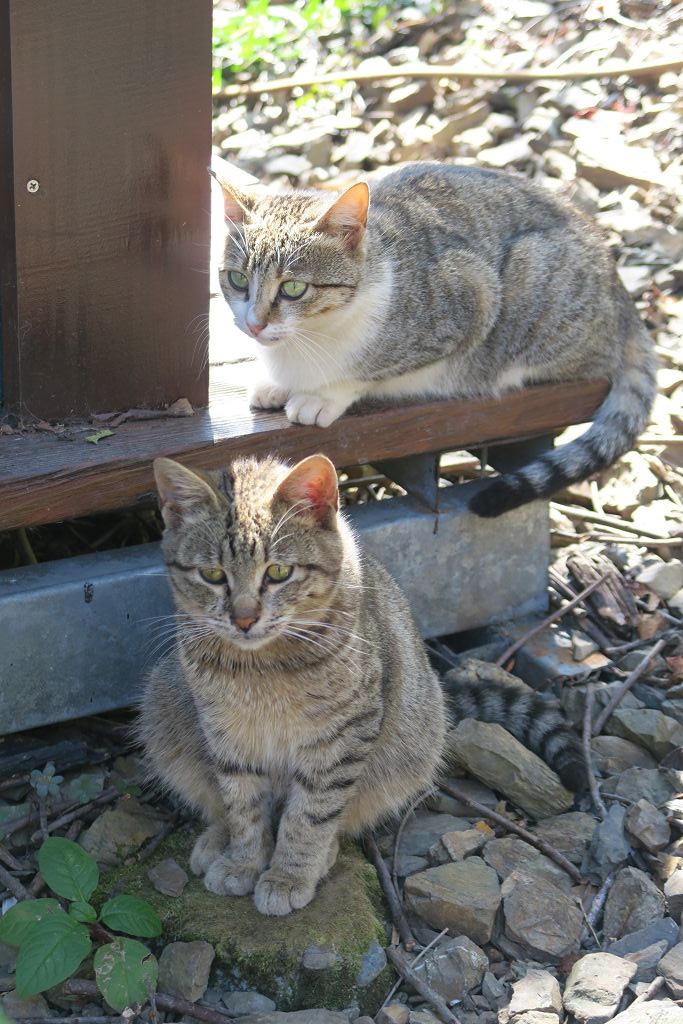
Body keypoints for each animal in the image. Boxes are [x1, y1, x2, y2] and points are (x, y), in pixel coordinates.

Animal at [137, 452, 581, 917]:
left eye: (278, 572)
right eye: (211, 574)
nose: (243, 619)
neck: (262, 667)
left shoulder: (342, 737)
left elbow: (310, 815)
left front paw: (290, 874)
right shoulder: (227, 735)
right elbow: (242, 806)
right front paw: (243, 861)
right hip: (163, 703)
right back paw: (216, 842)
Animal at [215, 164, 655, 524]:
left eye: (292, 288)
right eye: (237, 280)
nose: (254, 324)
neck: (307, 340)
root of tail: (620, 288)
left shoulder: (470, 301)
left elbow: (368, 373)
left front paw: (323, 395)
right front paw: (275, 383)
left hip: (532, 282)